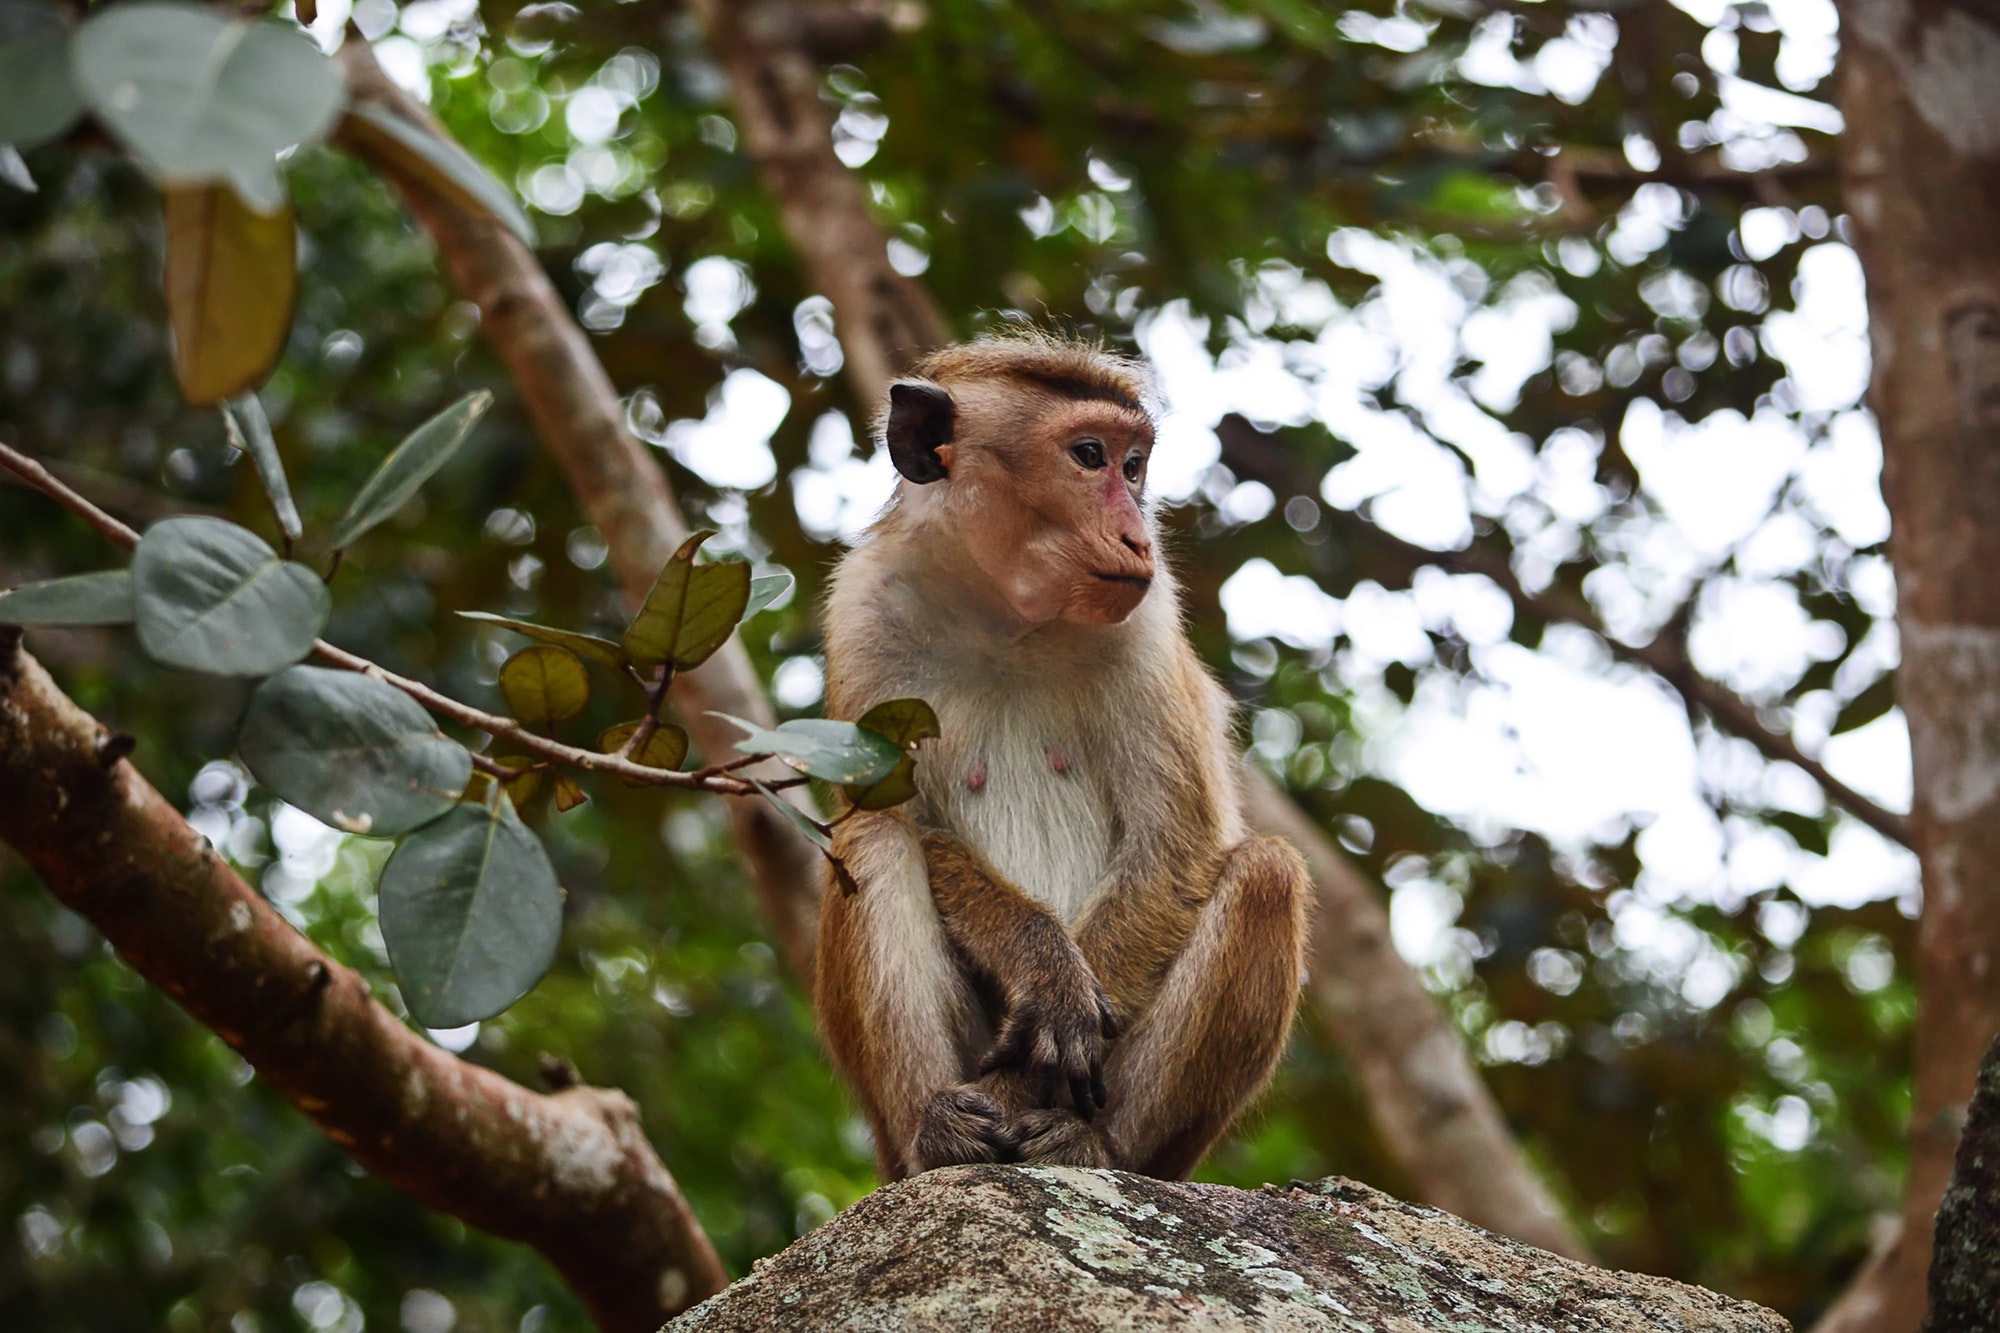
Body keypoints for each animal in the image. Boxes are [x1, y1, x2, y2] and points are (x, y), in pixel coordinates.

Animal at [816, 332, 1311, 1182]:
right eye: (1088, 456)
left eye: (1134, 465)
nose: (1138, 534)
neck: (1008, 617)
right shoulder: (864, 614)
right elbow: (893, 819)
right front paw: (1041, 961)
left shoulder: (1147, 623)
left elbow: (1173, 848)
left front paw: (1045, 1045)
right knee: (871, 840)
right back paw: (936, 1135)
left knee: (1268, 873)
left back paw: (1091, 1146)